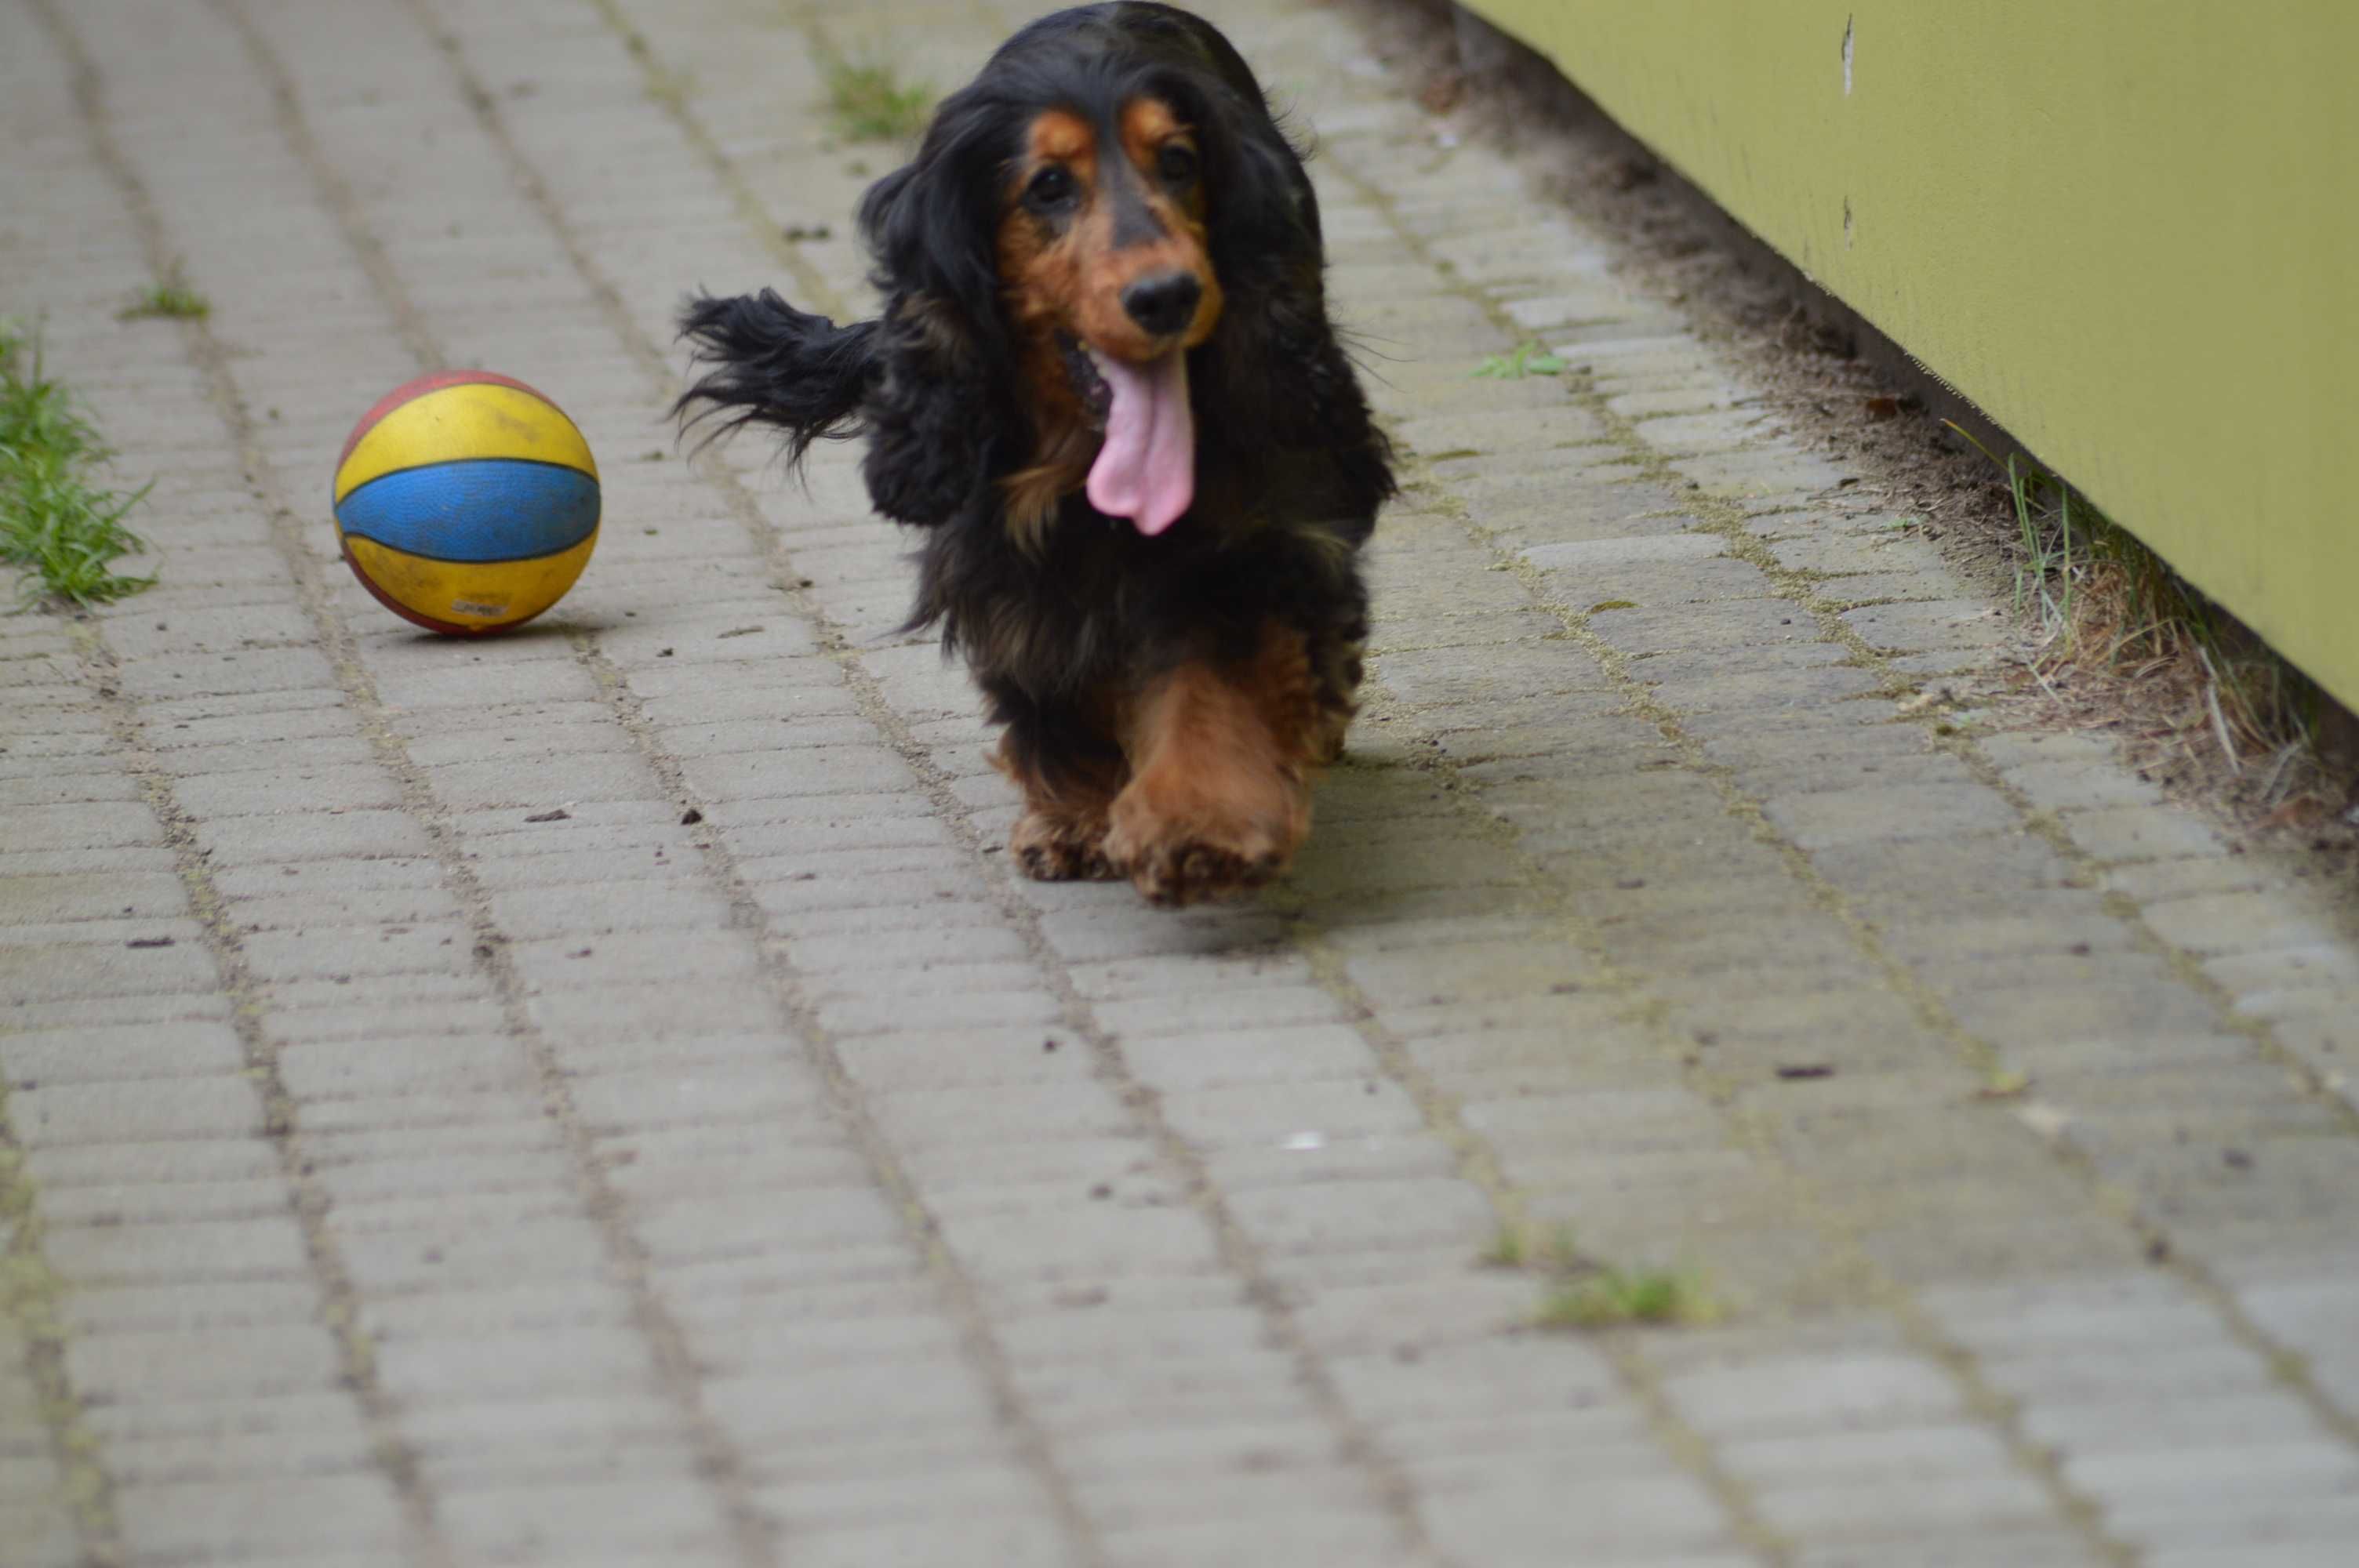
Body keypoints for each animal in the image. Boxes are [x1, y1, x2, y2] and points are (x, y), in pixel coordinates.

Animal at [679, 2, 1377, 905]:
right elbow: (1052, 684)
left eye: (1180, 162)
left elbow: (1210, 678)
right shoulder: (1002, 559)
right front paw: (1075, 818)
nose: (1168, 296)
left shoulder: (1243, 535)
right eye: (1048, 185)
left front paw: (1200, 824)